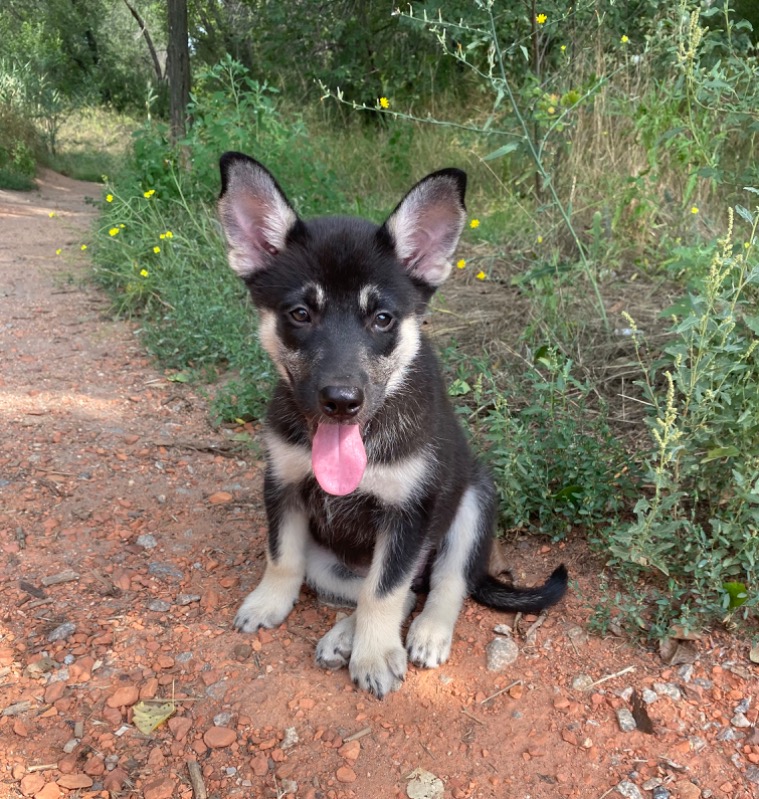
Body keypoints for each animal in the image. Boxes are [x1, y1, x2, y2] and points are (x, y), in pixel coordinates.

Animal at [217, 152, 568, 700]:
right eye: (300, 313)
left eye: (382, 318)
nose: (341, 402)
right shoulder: (283, 483)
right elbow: (283, 556)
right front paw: (268, 602)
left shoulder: (410, 513)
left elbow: (384, 591)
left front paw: (377, 656)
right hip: (334, 562)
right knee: (388, 587)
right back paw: (345, 636)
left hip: (473, 502)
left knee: (440, 583)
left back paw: (424, 634)